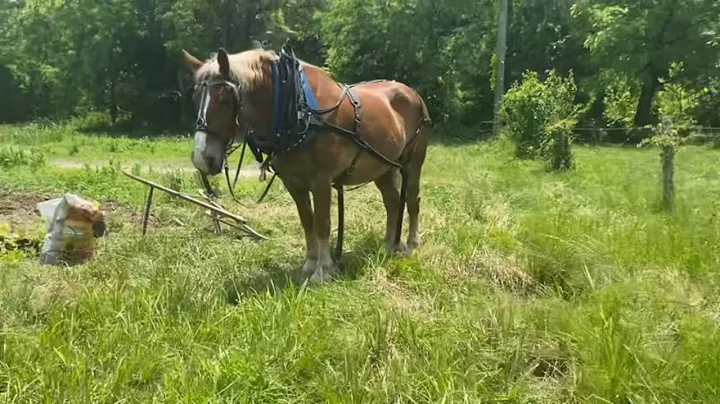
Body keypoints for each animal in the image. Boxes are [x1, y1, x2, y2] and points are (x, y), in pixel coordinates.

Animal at [181, 45, 432, 283]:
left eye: (224, 99)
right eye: (195, 99)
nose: (202, 158)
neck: (301, 112)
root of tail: (412, 93)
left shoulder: (321, 180)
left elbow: (322, 222)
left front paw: (324, 270)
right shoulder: (294, 183)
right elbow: (307, 221)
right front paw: (310, 263)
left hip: (413, 163)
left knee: (412, 200)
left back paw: (411, 245)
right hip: (383, 167)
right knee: (392, 202)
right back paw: (388, 245)